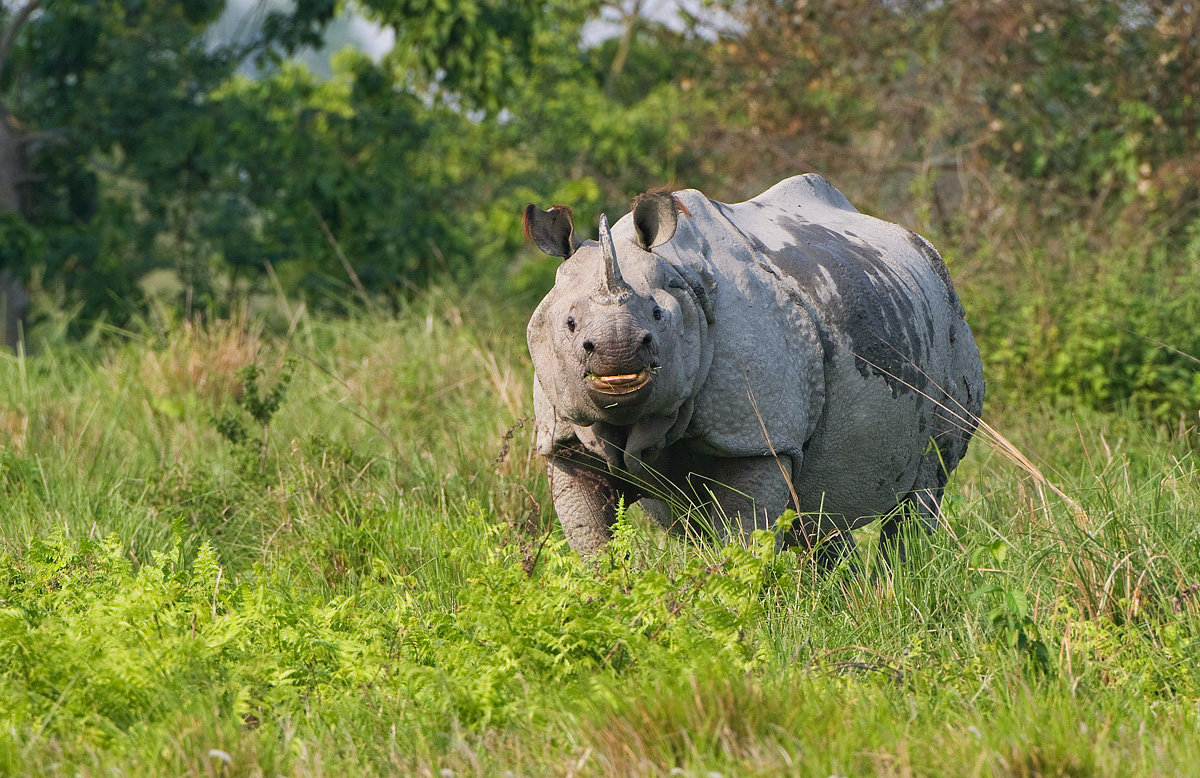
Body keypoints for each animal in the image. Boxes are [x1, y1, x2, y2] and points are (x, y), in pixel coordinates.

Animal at [524, 174, 983, 565]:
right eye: (570, 324)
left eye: (658, 315)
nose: (616, 355)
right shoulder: (564, 439)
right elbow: (591, 540)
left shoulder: (759, 435)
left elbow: (744, 533)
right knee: (816, 510)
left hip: (949, 325)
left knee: (923, 489)